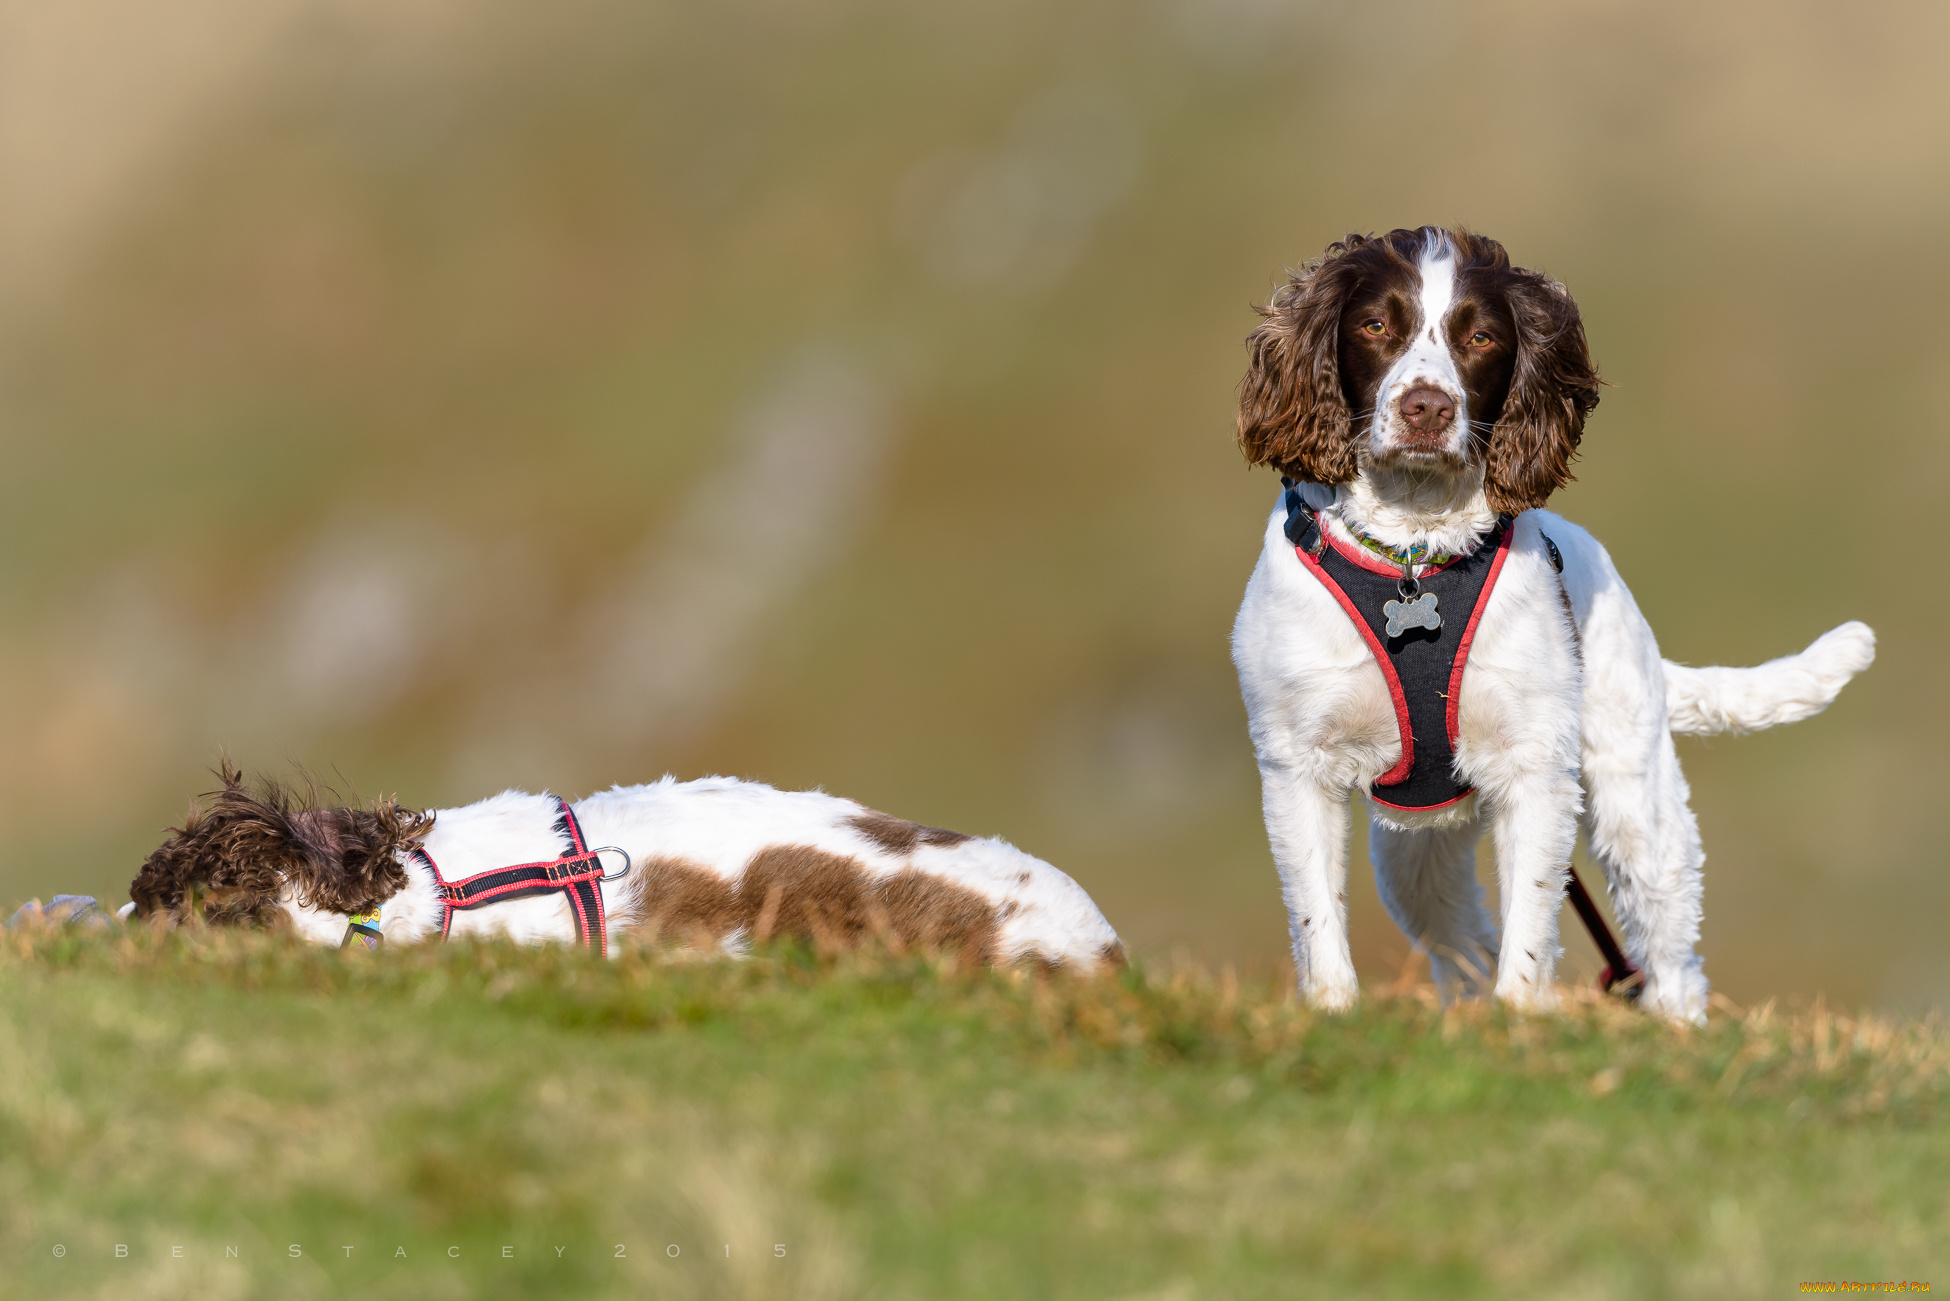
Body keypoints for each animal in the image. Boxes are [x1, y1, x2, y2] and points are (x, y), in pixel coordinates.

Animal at [1232, 229, 1872, 1022]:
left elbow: (1532, 920)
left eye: (1481, 337)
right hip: (1416, 846)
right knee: (1461, 938)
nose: (1425, 408)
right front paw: (1333, 1013)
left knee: (1670, 949)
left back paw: (1674, 1026)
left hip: (1636, 802)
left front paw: (1521, 1019)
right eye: (1376, 325)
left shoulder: (1534, 764)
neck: (1415, 553)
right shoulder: (1297, 763)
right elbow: (1317, 912)